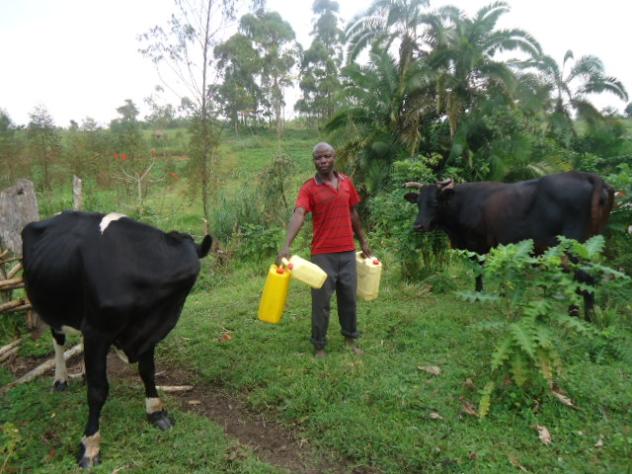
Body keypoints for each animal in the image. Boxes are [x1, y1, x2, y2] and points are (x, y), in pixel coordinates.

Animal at [21, 211, 212, 468]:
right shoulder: (97, 331)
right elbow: (98, 389)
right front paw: (90, 445)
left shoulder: (147, 332)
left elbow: (148, 372)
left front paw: (156, 412)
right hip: (53, 308)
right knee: (58, 339)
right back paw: (60, 380)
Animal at [404, 171, 614, 316]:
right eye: (418, 203)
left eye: (435, 202)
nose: (418, 225)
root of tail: (586, 175)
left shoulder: (477, 244)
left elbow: (478, 271)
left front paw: (478, 296)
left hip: (574, 249)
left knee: (586, 279)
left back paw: (585, 318)